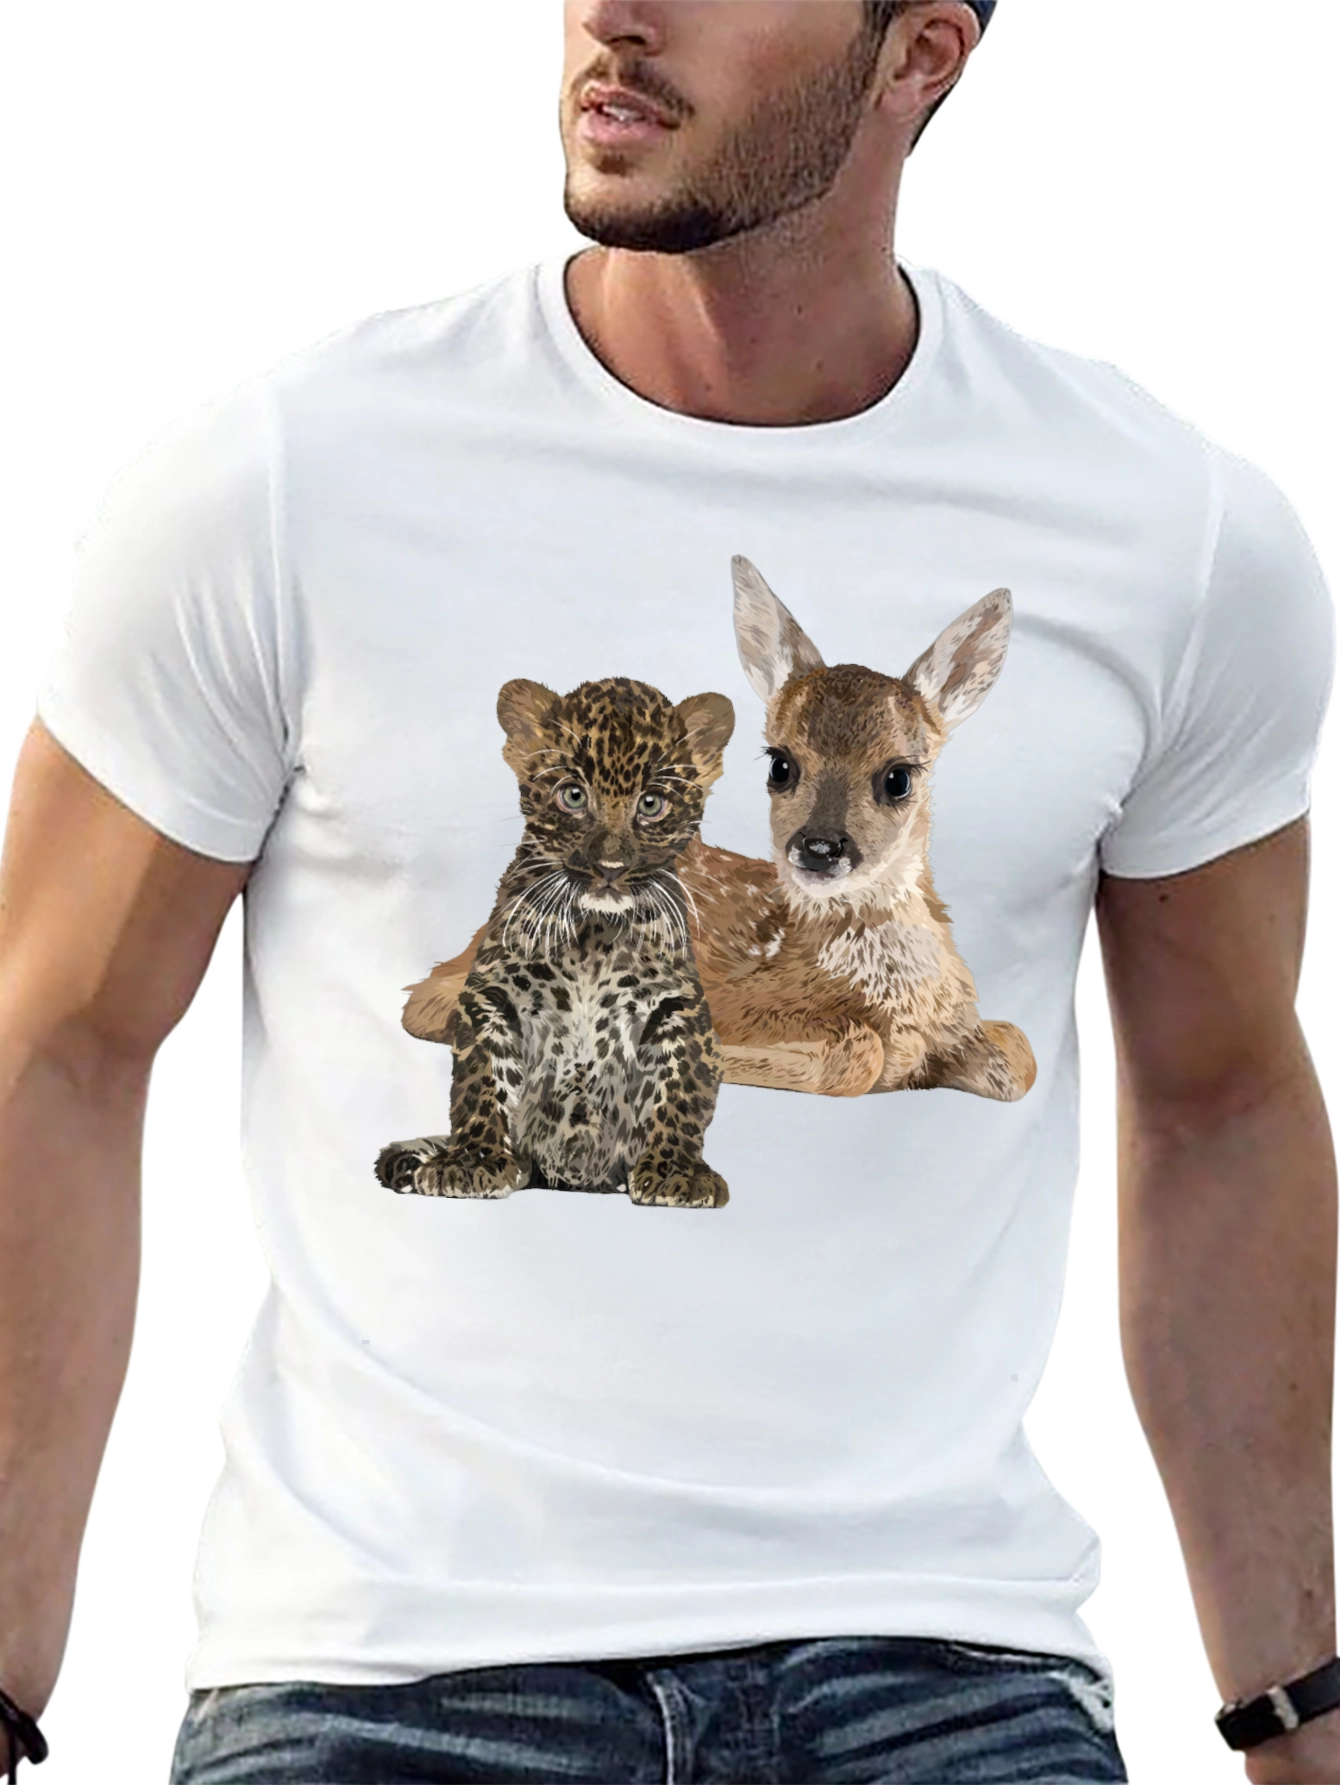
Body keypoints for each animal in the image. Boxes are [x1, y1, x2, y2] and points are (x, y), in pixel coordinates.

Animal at [374, 674, 737, 1208]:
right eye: (573, 796)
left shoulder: (677, 1005)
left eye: (651, 803)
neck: (594, 935)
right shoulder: (494, 994)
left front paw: (677, 1172)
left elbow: (680, 1087)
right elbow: (483, 1079)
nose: (610, 868)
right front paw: (471, 1162)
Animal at [399, 556, 1036, 1104]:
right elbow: (857, 1057)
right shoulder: (744, 1000)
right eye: (781, 765)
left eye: (899, 777)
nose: (819, 847)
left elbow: (1020, 1055)